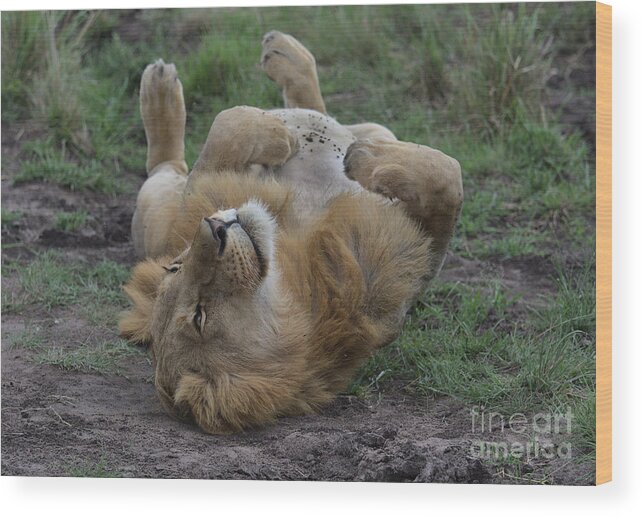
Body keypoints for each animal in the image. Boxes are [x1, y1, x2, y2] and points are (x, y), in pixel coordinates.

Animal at [119, 30, 462, 434]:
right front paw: (292, 139)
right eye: (200, 316)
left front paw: (348, 154)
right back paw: (161, 83)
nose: (214, 226)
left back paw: (285, 56)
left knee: (328, 115)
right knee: (164, 165)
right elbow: (229, 123)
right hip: (155, 209)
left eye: (175, 266)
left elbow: (446, 178)